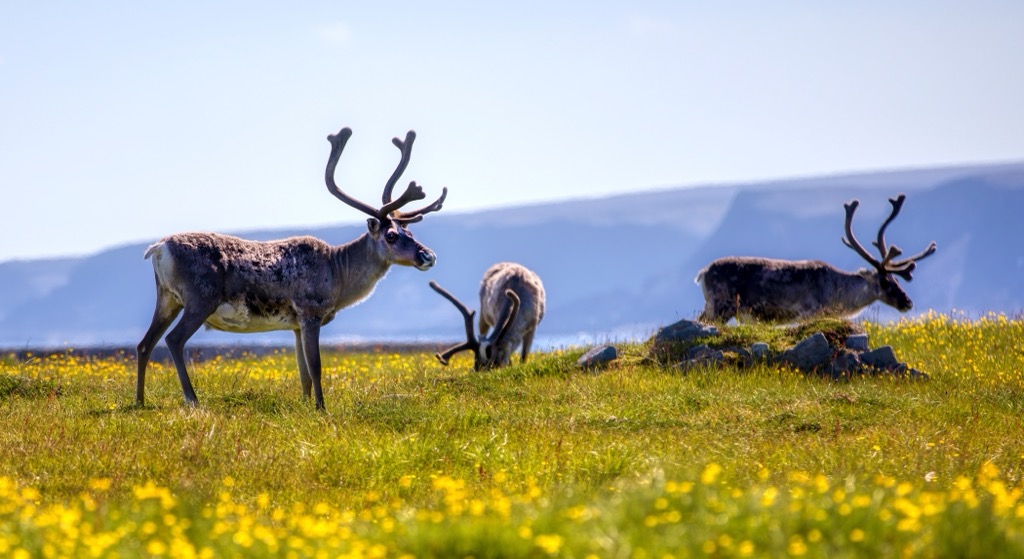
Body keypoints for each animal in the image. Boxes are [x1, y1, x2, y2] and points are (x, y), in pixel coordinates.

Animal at [136, 126, 447, 410]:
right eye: (391, 235)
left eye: (409, 231)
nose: (428, 255)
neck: (339, 274)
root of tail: (158, 248)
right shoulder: (310, 312)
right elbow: (316, 367)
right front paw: (322, 409)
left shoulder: (295, 325)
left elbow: (303, 373)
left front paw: (306, 405)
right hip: (200, 299)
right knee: (173, 340)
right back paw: (192, 399)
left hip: (168, 298)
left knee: (145, 343)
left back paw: (139, 401)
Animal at [696, 193, 936, 323]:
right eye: (886, 282)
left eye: (897, 279)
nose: (907, 302)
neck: (839, 291)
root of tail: (703, 272)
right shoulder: (809, 312)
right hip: (721, 306)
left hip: (713, 306)